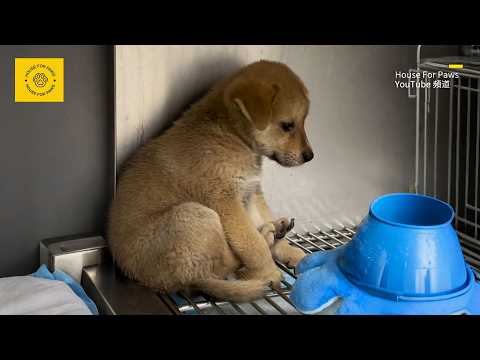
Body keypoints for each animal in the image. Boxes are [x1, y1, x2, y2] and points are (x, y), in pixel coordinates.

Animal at [107, 60, 314, 302]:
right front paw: (269, 271)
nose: (310, 156)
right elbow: (251, 244)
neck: (232, 135)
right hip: (195, 214)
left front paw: (291, 252)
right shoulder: (227, 202)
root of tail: (169, 285)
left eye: (303, 122)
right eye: (287, 125)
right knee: (228, 264)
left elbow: (261, 219)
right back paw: (268, 237)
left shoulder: (250, 192)